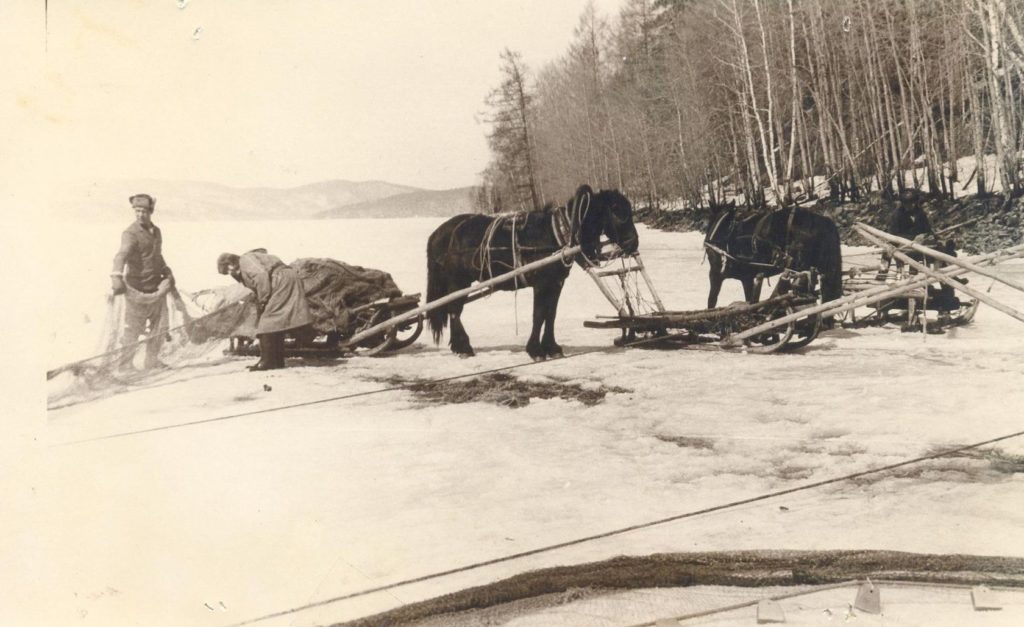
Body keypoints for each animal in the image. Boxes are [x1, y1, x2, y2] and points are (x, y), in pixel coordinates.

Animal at [425, 183, 634, 358]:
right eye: (618, 213)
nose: (634, 242)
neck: (556, 234)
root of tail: (440, 232)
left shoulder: (556, 283)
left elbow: (551, 314)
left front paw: (552, 347)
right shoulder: (541, 284)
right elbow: (539, 315)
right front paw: (535, 350)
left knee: (453, 311)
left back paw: (458, 346)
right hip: (458, 281)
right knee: (454, 310)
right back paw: (464, 347)